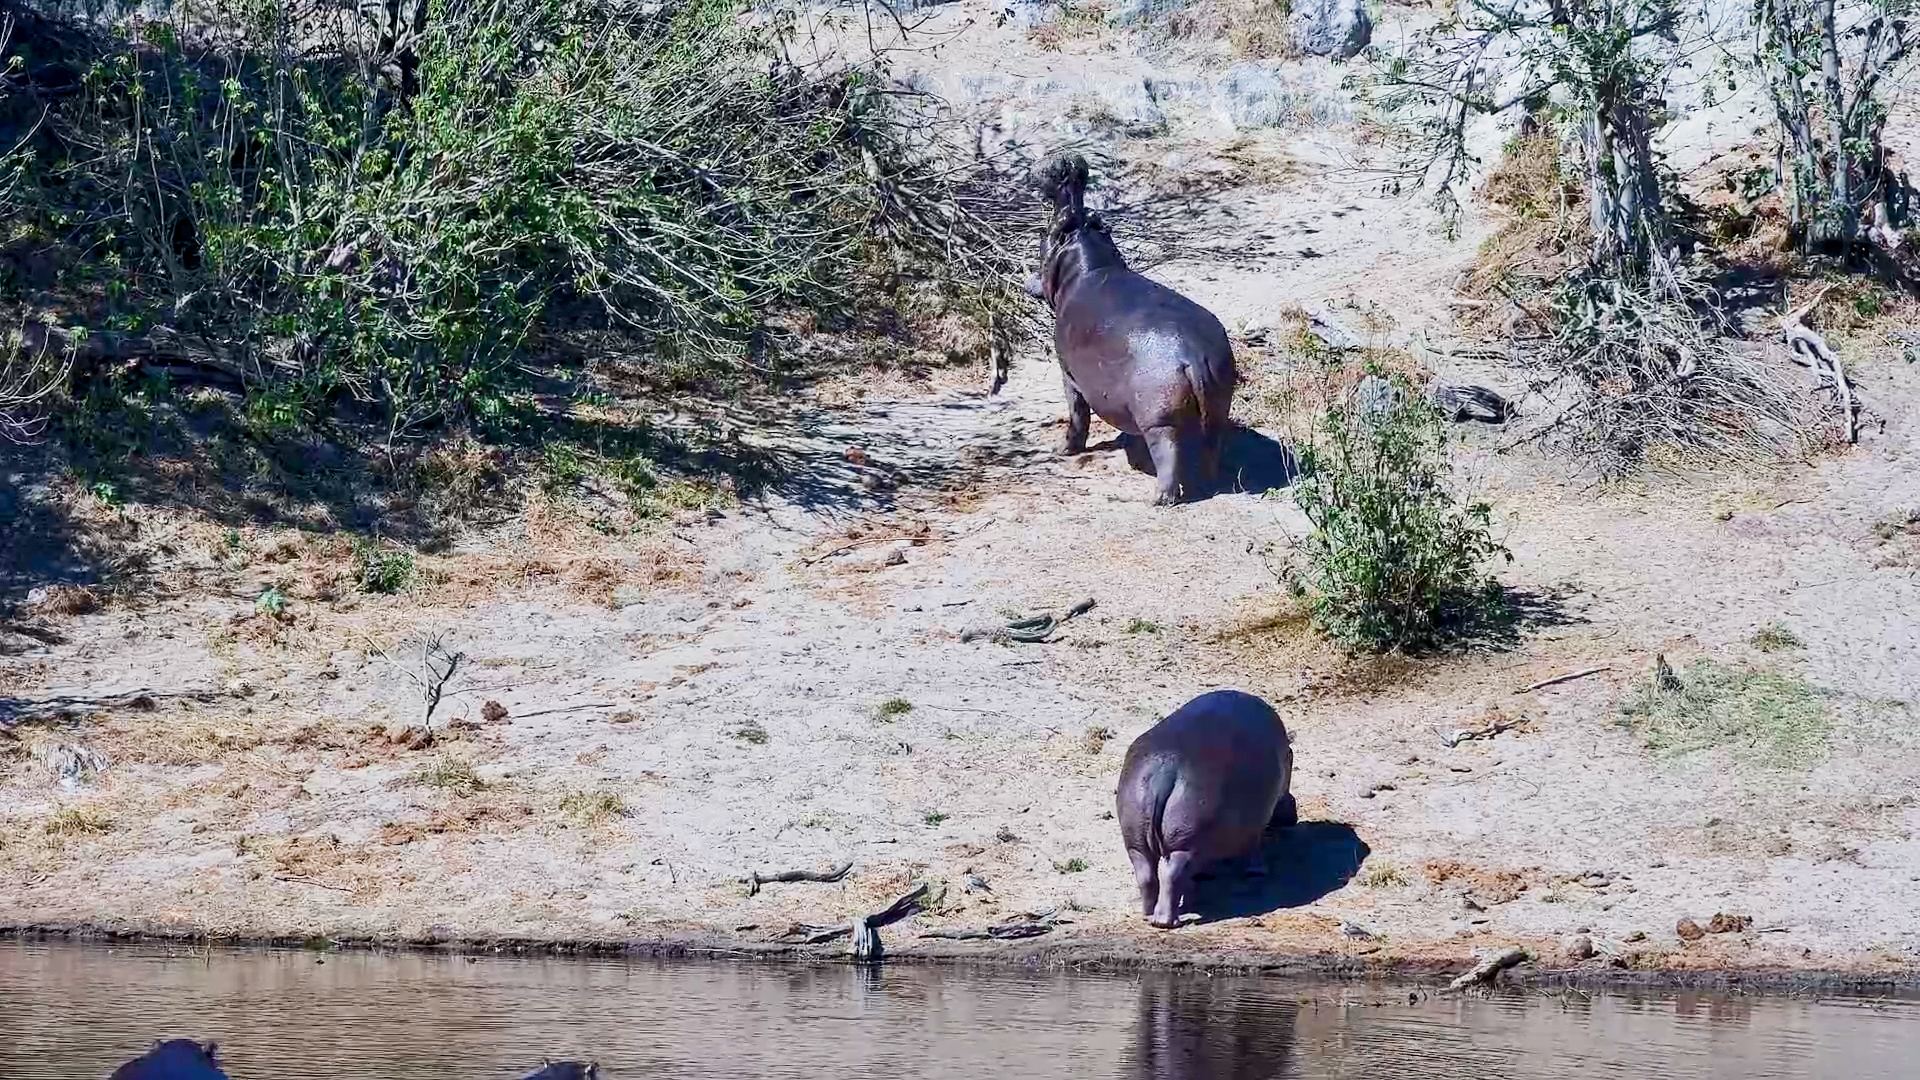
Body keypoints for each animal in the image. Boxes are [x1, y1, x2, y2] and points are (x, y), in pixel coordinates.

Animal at [1025, 153, 1238, 504]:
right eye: (1092, 216)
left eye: (1048, 235)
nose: (1068, 170)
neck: (1087, 263)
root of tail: (1194, 356)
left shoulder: (1069, 375)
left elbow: (1077, 414)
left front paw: (1062, 449)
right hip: (1220, 405)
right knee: (1213, 443)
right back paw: (1212, 481)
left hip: (1159, 422)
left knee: (1167, 453)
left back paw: (1160, 499)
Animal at [1116, 689, 1295, 928]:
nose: (1292, 814)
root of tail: (1164, 769)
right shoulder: (1257, 820)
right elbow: (1255, 846)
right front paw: (1257, 871)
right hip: (1185, 843)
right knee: (1171, 874)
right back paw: (1167, 921)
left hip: (1136, 839)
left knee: (1147, 874)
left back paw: (1149, 914)